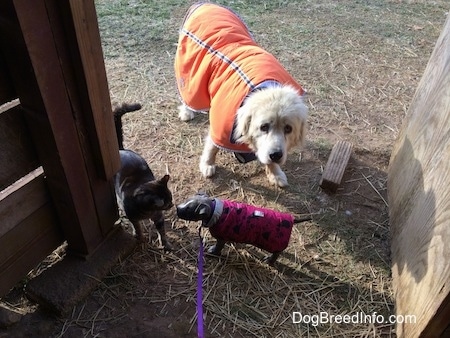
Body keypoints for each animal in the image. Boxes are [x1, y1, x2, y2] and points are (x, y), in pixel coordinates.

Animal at [113, 103, 173, 251]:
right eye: (167, 202)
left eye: (171, 198)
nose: (172, 204)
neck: (148, 211)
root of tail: (121, 149)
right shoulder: (133, 217)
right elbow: (137, 227)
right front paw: (139, 237)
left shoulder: (159, 218)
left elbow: (162, 232)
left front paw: (165, 244)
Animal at [174, 3, 308, 187]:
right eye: (264, 127)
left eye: (288, 129)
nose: (276, 155)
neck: (260, 88)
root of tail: (207, 3)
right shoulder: (219, 129)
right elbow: (212, 147)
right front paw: (207, 164)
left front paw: (275, 173)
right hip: (191, 76)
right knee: (189, 97)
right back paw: (187, 111)